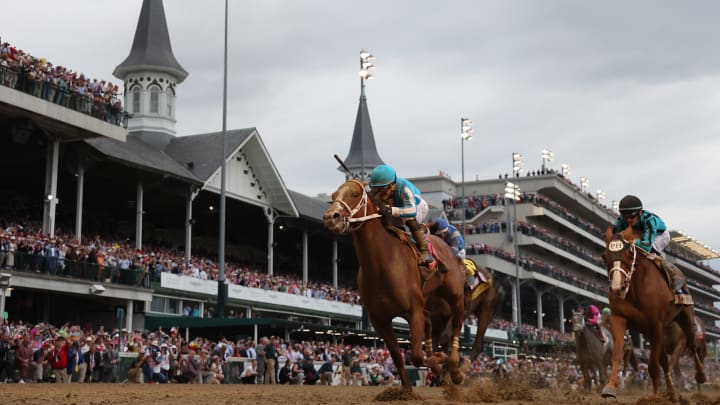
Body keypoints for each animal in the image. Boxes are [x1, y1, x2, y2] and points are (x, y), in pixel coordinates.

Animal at [322, 180, 466, 388]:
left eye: (355, 194)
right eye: (333, 196)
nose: (330, 217)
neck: (383, 264)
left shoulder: (413, 311)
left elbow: (416, 356)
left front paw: (440, 362)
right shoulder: (380, 319)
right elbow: (398, 358)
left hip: (454, 295)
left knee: (457, 322)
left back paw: (454, 369)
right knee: (430, 322)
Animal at [600, 226, 704, 400]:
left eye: (629, 254)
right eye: (604, 256)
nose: (617, 288)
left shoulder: (656, 323)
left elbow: (653, 365)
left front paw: (655, 397)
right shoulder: (619, 318)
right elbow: (618, 354)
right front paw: (610, 387)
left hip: (685, 318)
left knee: (692, 345)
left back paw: (700, 376)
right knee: (665, 361)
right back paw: (671, 392)